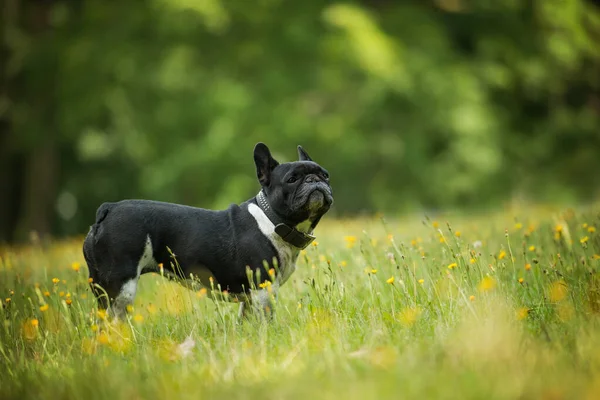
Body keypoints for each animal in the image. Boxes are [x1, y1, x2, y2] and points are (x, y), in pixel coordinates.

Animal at [82, 142, 332, 320]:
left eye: (325, 175)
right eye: (292, 179)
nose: (314, 180)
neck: (271, 220)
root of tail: (109, 209)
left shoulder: (250, 298)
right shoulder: (263, 289)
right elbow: (265, 320)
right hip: (120, 286)